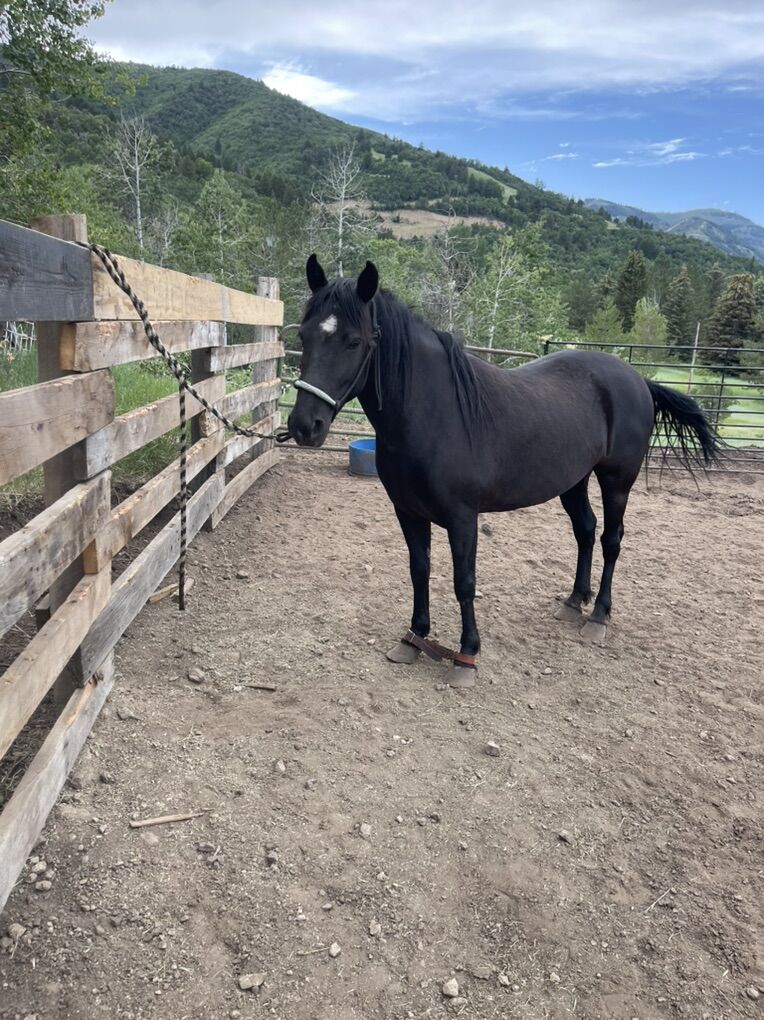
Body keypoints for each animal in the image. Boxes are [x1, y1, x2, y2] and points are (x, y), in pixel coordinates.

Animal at [287, 255, 721, 686]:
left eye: (354, 341)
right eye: (304, 336)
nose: (304, 426)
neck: (435, 413)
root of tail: (637, 378)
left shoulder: (463, 518)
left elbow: (464, 582)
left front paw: (466, 656)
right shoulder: (407, 511)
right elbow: (419, 571)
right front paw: (414, 638)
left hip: (617, 482)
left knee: (611, 540)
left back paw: (598, 616)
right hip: (573, 481)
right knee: (585, 530)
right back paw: (572, 602)